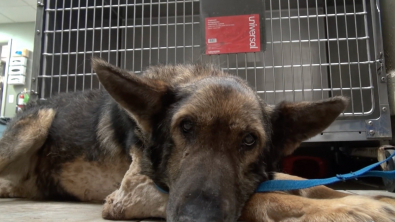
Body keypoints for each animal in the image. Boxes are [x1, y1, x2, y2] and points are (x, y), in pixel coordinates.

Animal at [0, 58, 395, 221]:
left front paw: (359, 197)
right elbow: (261, 199)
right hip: (39, 121)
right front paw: (352, 208)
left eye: (249, 140)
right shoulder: (131, 194)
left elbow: (303, 182)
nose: (197, 219)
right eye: (185, 128)